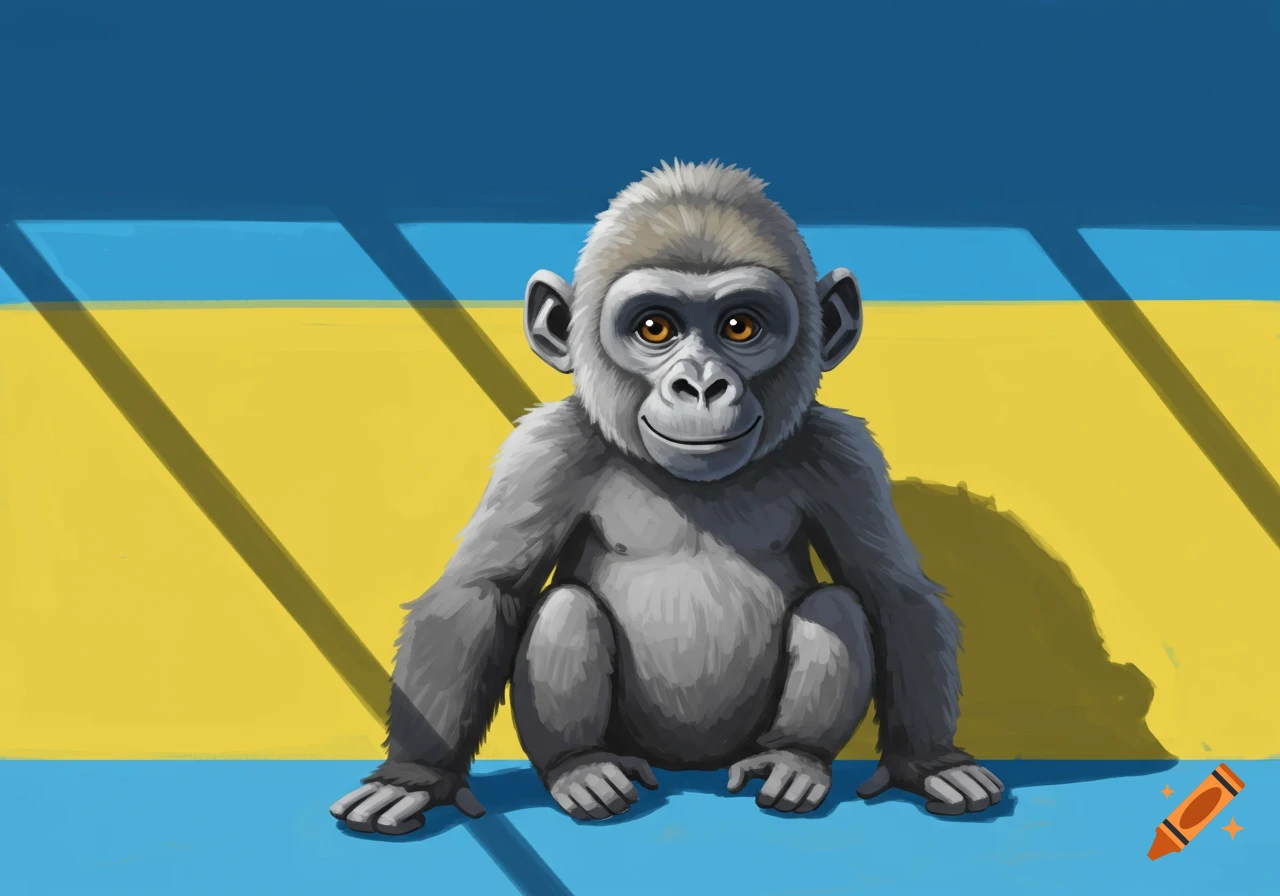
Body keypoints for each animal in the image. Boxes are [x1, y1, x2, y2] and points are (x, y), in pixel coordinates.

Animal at [329, 161, 1003, 835]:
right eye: (655, 327)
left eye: (739, 326)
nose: (701, 385)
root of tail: (692, 767)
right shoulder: (543, 451)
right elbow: (483, 590)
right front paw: (415, 776)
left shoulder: (844, 456)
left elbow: (891, 593)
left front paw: (930, 762)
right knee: (566, 608)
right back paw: (582, 769)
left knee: (835, 606)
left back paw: (795, 759)